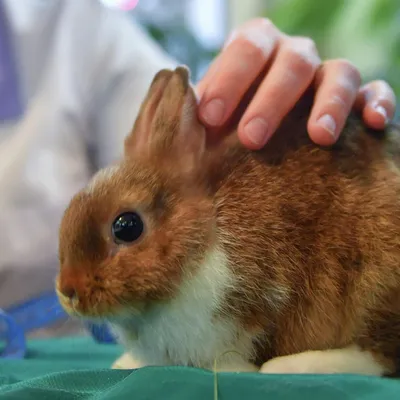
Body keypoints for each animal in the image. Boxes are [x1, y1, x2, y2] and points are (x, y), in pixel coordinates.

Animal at [57, 65, 400, 376]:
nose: (68, 291)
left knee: (378, 355)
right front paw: (125, 363)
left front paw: (237, 369)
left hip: (376, 281)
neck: (205, 238)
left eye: (127, 226)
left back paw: (289, 366)